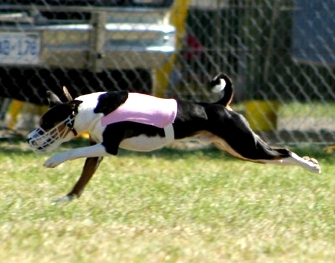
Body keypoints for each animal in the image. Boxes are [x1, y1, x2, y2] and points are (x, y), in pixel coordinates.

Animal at [27, 73, 322, 202]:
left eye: (46, 123)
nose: (31, 140)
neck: (94, 109)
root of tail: (219, 105)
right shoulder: (97, 149)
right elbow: (83, 178)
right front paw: (67, 199)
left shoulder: (108, 146)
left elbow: (71, 153)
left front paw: (52, 161)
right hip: (239, 149)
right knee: (279, 157)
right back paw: (308, 164)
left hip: (245, 145)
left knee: (284, 152)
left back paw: (312, 166)